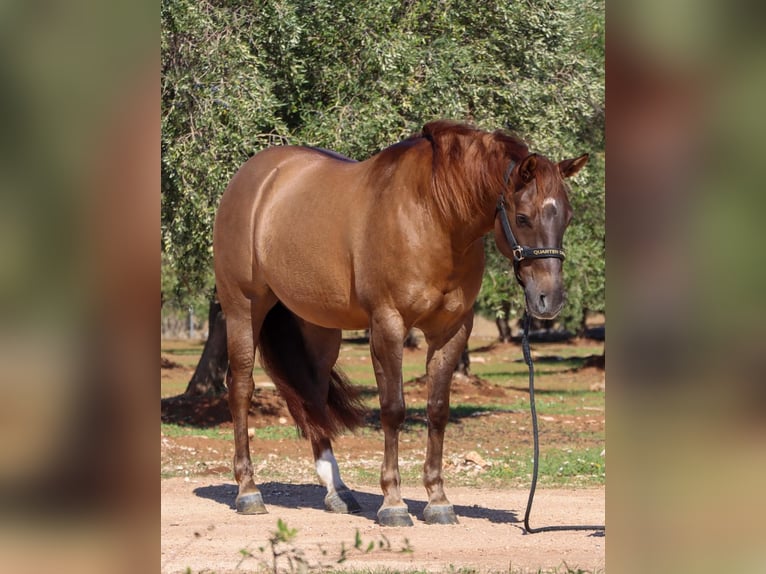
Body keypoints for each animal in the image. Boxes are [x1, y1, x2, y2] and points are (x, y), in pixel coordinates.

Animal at [213, 120, 588, 526]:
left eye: (567, 218)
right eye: (523, 218)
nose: (549, 300)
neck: (434, 216)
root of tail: (253, 178)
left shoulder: (452, 329)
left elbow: (437, 409)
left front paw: (438, 500)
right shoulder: (388, 324)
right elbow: (393, 409)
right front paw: (393, 503)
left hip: (318, 326)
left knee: (311, 394)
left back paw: (337, 491)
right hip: (243, 309)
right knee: (241, 387)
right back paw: (249, 492)